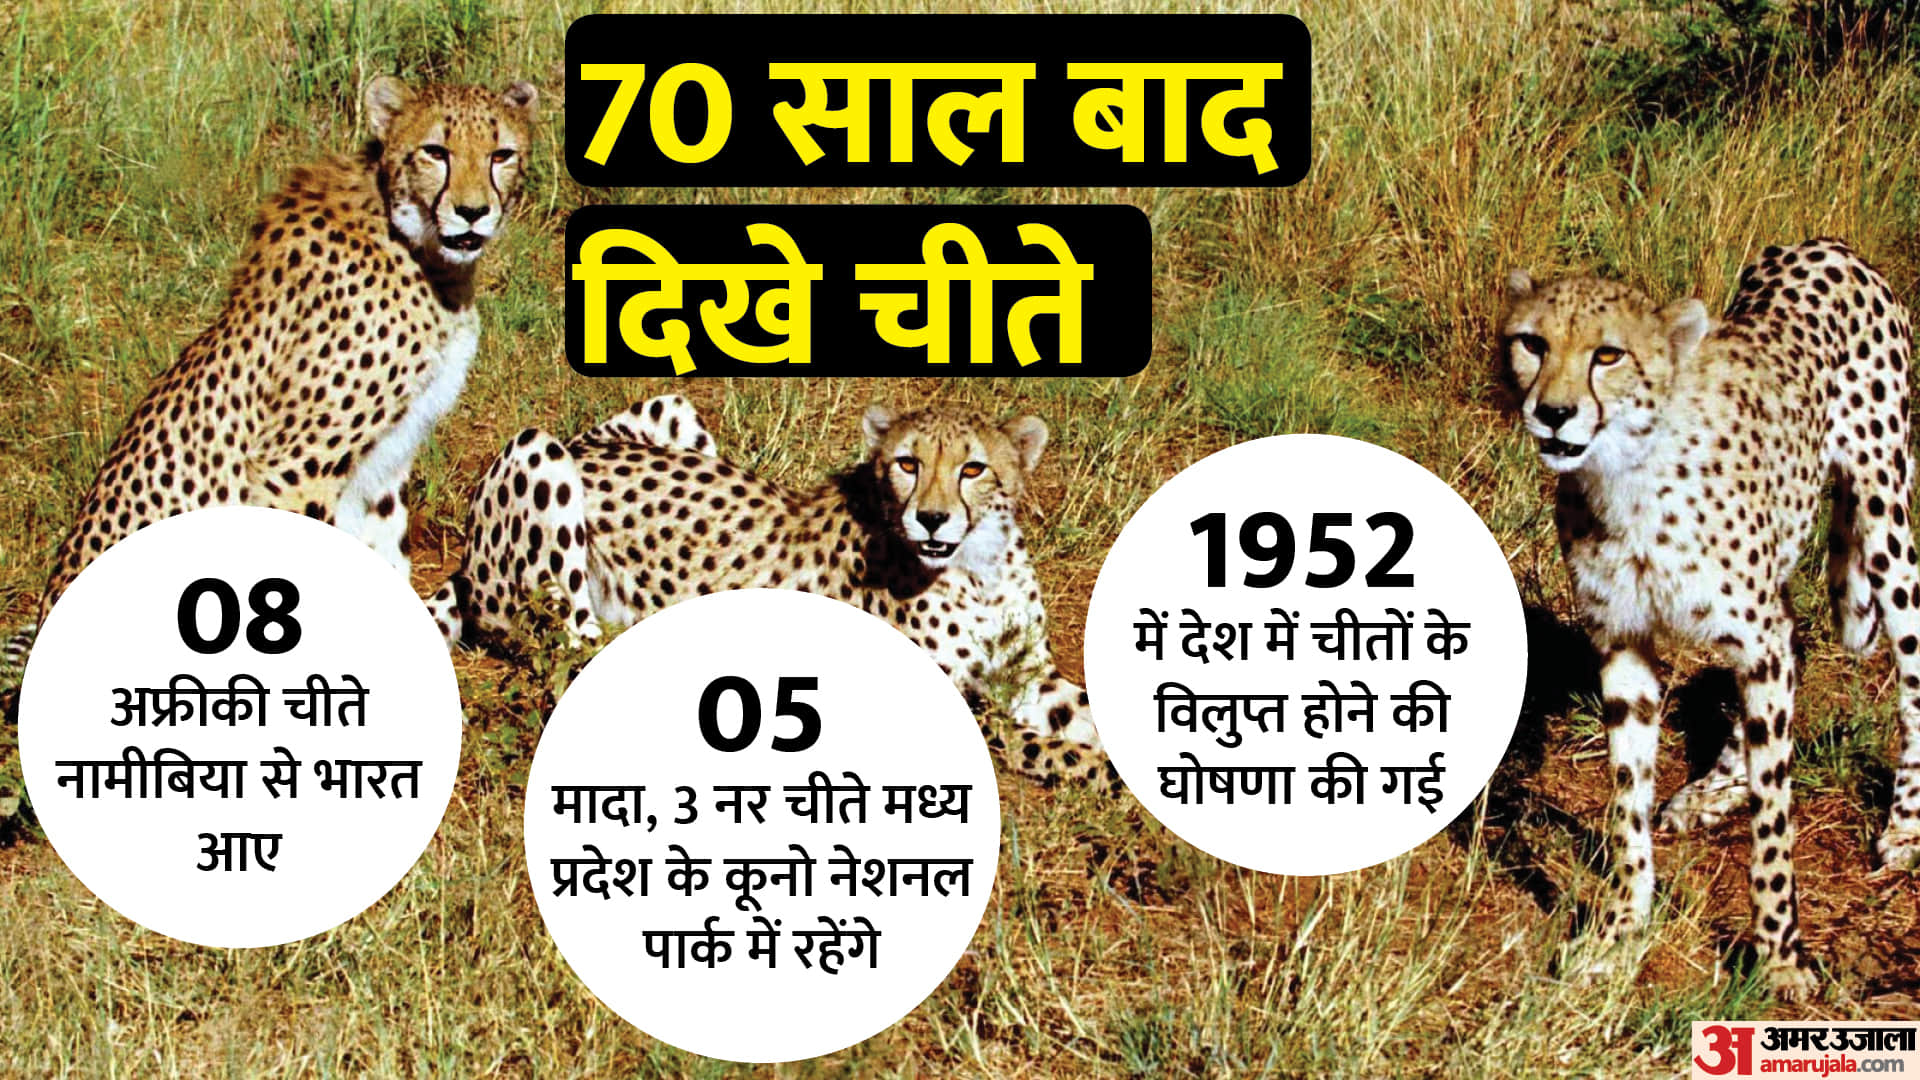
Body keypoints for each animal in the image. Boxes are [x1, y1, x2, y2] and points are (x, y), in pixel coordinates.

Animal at [1, 75, 536, 687]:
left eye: (501, 154)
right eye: (435, 151)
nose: (472, 212)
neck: (420, 250)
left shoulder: (386, 460)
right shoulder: (295, 466)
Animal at [425, 395, 1115, 791]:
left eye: (974, 469)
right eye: (907, 464)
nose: (932, 519)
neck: (979, 567)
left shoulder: (1029, 674)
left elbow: (1088, 713)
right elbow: (1052, 747)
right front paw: (1109, 781)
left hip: (668, 408)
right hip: (540, 455)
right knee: (566, 650)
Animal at [1501, 237, 1920, 999]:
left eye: (1608, 354)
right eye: (1532, 343)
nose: (1553, 413)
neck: (1630, 476)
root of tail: (1827, 245)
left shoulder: (1752, 636)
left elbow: (1775, 824)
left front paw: (1780, 955)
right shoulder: (1625, 643)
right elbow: (1627, 799)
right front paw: (1621, 931)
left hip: (1883, 514)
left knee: (1909, 671)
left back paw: (1904, 827)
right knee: (1794, 643)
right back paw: (1717, 786)